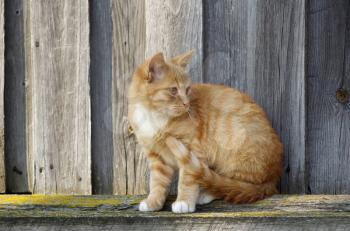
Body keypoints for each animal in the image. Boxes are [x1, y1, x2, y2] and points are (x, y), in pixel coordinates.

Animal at [127, 50, 284, 213]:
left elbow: (188, 177)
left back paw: (206, 193)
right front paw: (153, 202)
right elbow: (157, 182)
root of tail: (273, 177)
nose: (187, 104)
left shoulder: (193, 148)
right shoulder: (157, 157)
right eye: (173, 90)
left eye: (187, 89)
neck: (155, 116)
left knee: (231, 185)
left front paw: (184, 201)